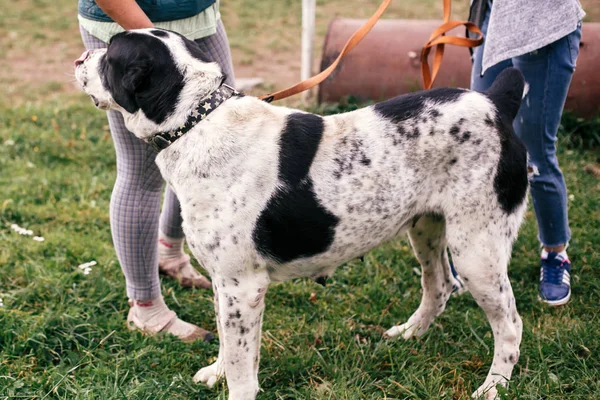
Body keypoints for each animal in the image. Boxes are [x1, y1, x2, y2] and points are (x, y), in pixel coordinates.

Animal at [76, 28, 528, 400]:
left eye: (110, 56)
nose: (80, 58)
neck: (196, 121)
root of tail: (495, 103)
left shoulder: (242, 286)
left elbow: (242, 366)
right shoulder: (225, 284)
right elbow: (229, 343)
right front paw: (216, 372)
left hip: (477, 253)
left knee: (509, 324)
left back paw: (493, 386)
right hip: (428, 229)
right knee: (440, 287)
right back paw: (408, 334)